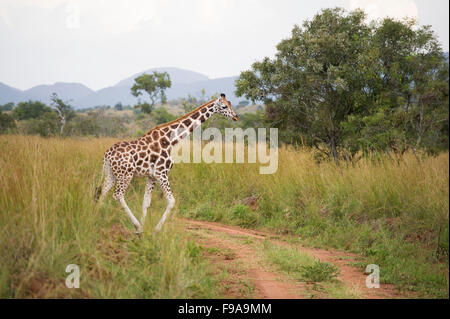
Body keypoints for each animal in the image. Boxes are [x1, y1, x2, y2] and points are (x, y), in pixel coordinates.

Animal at [96, 94, 239, 234]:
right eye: (224, 106)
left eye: (230, 103)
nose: (236, 116)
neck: (171, 140)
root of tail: (107, 154)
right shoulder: (161, 173)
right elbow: (171, 202)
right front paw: (153, 230)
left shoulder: (151, 176)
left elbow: (146, 203)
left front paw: (143, 230)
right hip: (126, 174)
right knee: (117, 195)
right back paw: (134, 225)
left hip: (111, 173)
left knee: (103, 192)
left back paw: (100, 219)